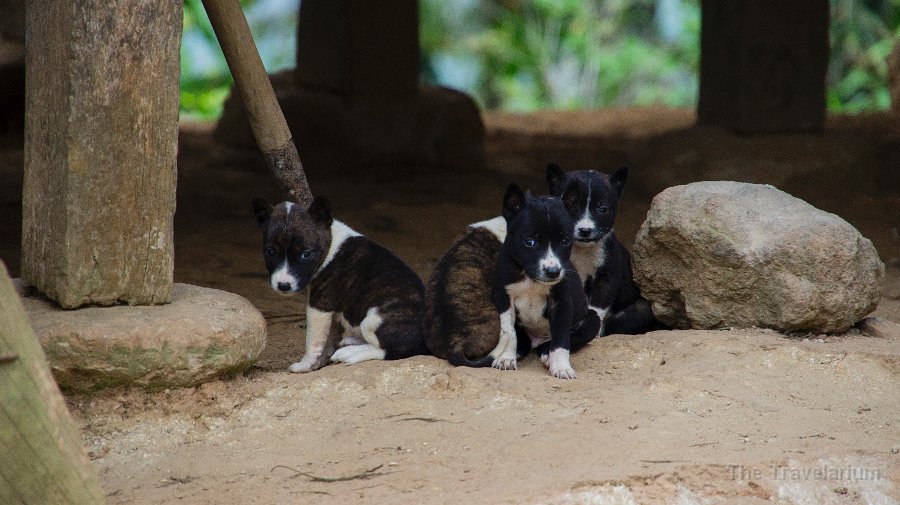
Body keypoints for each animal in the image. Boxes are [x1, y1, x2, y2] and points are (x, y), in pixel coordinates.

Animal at [250, 195, 426, 372]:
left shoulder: (319, 306)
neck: (330, 244)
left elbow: (313, 341)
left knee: (390, 350)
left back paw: (350, 353)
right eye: (270, 252)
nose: (283, 285)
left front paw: (305, 365)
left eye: (306, 254)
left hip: (376, 316)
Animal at [488, 183, 600, 376]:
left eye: (565, 241)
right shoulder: (503, 295)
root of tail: (537, 340)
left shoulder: (561, 302)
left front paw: (561, 367)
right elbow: (508, 331)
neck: (531, 278)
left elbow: (561, 339)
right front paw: (505, 358)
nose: (553, 271)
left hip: (592, 319)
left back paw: (547, 353)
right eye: (529, 242)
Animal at [544, 161, 656, 334]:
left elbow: (597, 307)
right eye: (569, 206)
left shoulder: (606, 275)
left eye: (602, 209)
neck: (581, 250)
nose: (585, 230)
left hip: (642, 308)